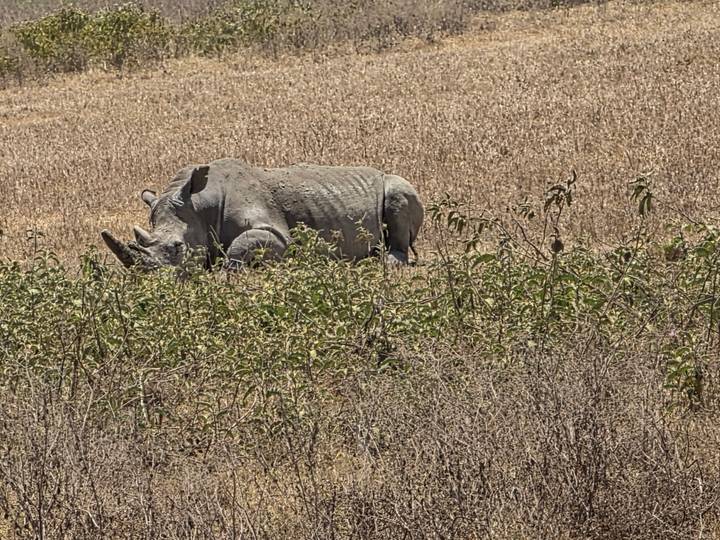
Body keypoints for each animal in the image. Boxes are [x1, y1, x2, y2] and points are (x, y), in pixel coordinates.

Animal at [101, 158, 424, 270]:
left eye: (178, 247)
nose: (151, 282)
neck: (200, 205)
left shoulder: (276, 233)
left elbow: (239, 248)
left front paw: (228, 271)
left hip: (400, 185)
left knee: (398, 193)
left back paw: (385, 262)